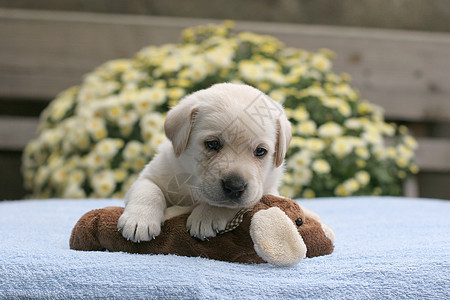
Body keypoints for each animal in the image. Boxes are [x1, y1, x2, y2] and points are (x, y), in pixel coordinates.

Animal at [118, 82, 292, 241]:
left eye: (260, 151)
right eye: (212, 144)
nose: (235, 187)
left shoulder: (266, 193)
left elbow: (230, 205)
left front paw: (207, 215)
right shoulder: (151, 174)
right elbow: (149, 190)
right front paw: (139, 220)